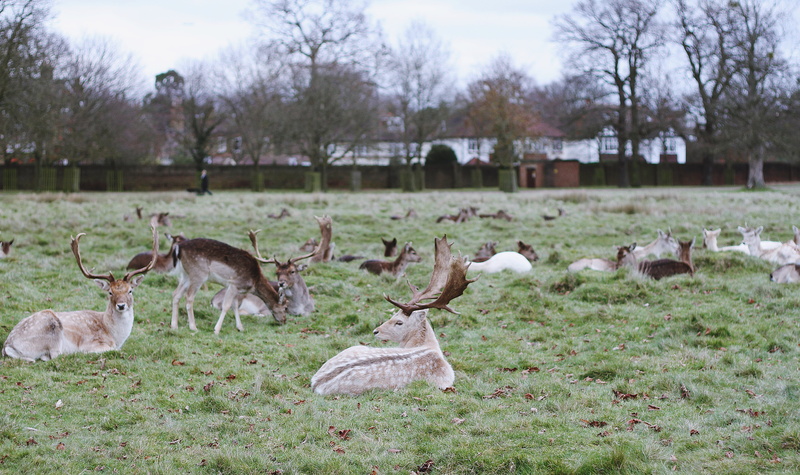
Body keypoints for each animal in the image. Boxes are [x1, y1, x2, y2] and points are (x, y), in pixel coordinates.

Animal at [2, 227, 158, 362]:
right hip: (51, 329)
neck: (114, 334)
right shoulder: (92, 342)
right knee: (54, 355)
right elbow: (112, 349)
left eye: (130, 290)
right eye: (110, 292)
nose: (121, 305)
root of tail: (8, 346)